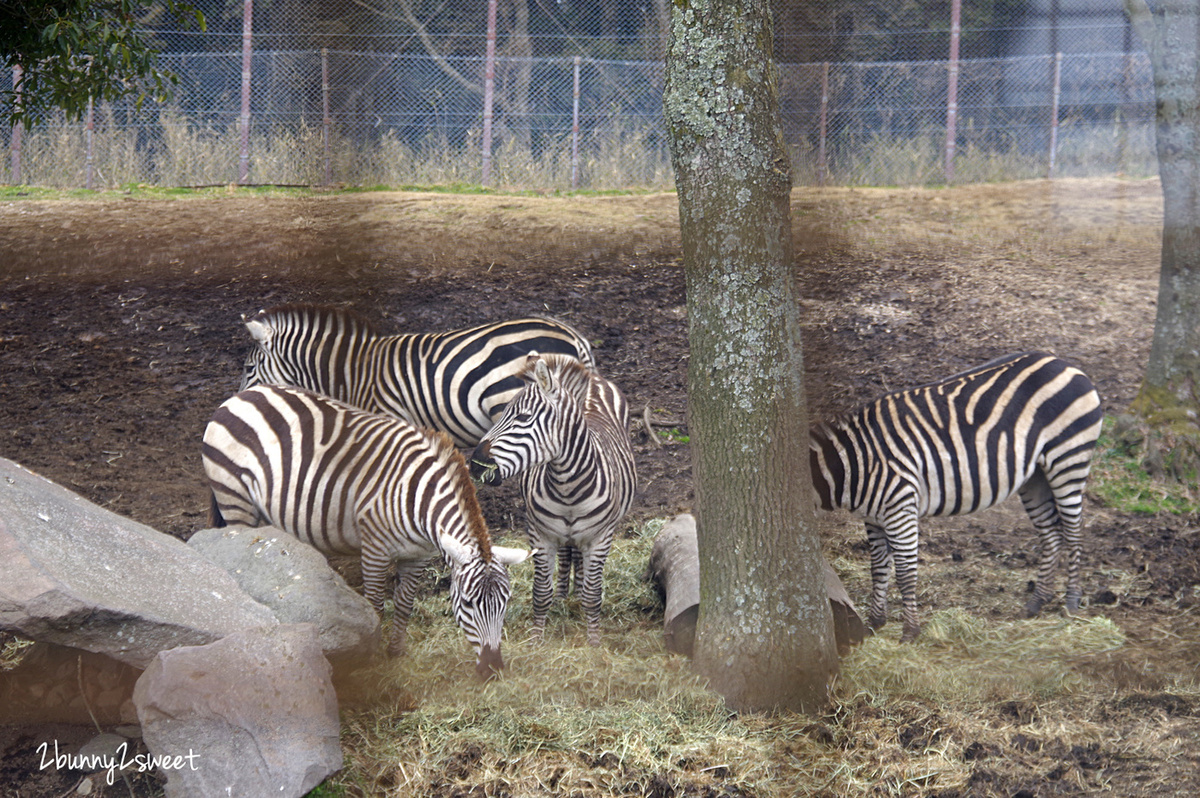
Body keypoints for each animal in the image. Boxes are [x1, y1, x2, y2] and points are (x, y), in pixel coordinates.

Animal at [201, 384, 530, 676]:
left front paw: (396, 652)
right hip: (234, 498)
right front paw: (370, 661)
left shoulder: (419, 556)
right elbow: (375, 607)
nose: (493, 670)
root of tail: (244, 394)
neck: (418, 498)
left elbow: (404, 603)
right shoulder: (375, 550)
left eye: (505, 604)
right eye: (468, 604)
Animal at [468, 352, 638, 648]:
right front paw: (536, 640)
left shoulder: (600, 537)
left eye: (524, 417)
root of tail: (593, 377)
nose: (475, 464)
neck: (568, 489)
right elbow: (541, 592)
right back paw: (564, 594)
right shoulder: (540, 534)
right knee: (568, 552)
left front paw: (594, 641)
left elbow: (593, 593)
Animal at [806, 352, 1104, 643]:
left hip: (1068, 459)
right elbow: (878, 567)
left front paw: (910, 632)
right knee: (1051, 533)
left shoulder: (900, 507)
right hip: (1035, 477)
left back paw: (1071, 602)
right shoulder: (874, 517)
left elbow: (904, 572)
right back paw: (1036, 602)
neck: (853, 465)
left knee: (1073, 531)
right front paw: (874, 623)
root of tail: (1065, 363)